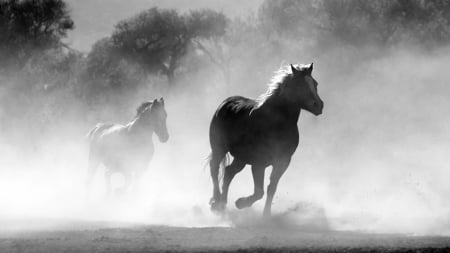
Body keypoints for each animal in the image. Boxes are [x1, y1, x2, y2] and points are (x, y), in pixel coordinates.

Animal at [209, 63, 322, 215]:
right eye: (299, 85)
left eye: (315, 83)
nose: (319, 105)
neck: (276, 124)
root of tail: (225, 103)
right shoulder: (259, 163)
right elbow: (259, 192)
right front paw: (240, 203)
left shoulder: (282, 162)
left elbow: (271, 189)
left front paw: (266, 215)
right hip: (219, 148)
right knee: (214, 168)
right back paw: (216, 201)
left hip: (241, 158)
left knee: (228, 172)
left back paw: (222, 203)